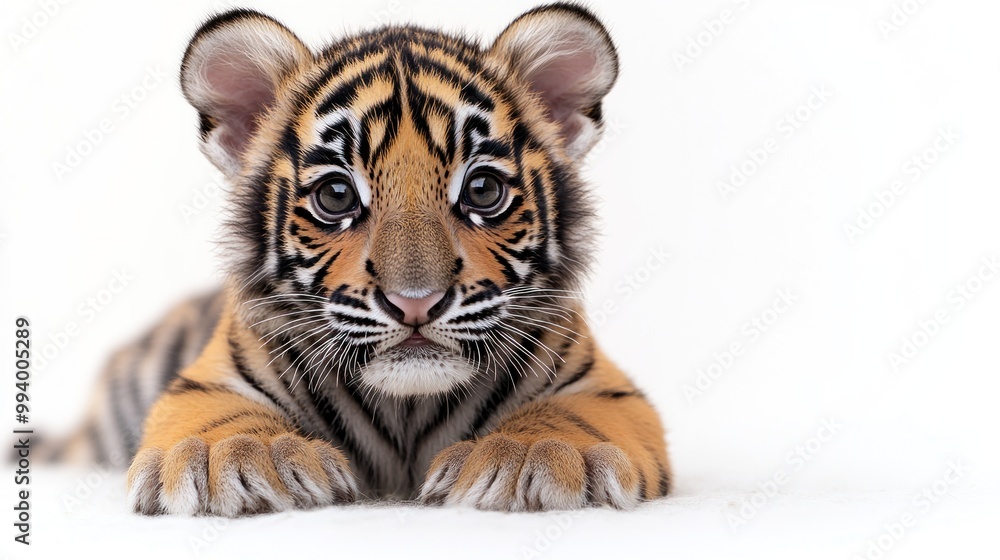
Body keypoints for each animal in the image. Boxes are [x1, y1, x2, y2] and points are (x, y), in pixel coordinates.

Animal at [51, 2, 672, 516]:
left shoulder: (603, 387)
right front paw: (235, 453)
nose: (415, 303)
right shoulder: (209, 380)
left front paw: (530, 454)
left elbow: (569, 416)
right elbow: (219, 417)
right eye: (336, 196)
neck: (408, 411)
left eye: (483, 191)